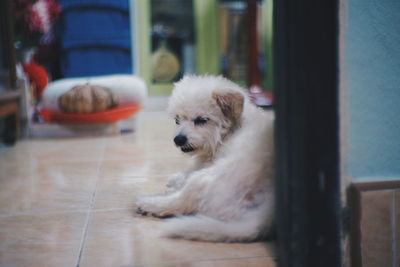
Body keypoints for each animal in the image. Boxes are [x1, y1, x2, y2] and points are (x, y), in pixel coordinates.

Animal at [134, 75, 276, 243]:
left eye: (201, 120)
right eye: (177, 120)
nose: (178, 139)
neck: (228, 133)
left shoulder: (205, 164)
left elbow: (189, 173)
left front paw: (176, 181)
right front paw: (176, 178)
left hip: (204, 179)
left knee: (180, 204)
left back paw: (149, 203)